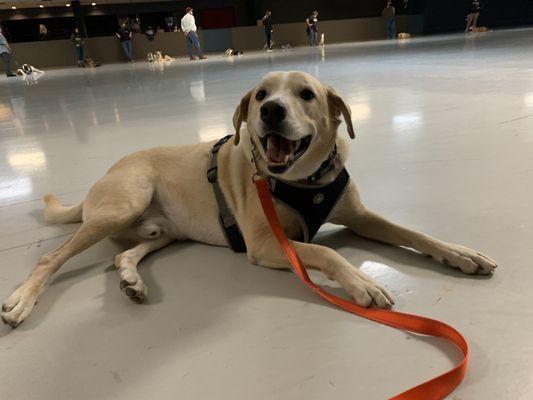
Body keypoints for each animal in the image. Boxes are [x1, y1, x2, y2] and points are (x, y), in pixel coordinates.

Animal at [2, 72, 496, 328]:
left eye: (306, 94)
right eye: (260, 94)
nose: (270, 110)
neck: (306, 180)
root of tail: (105, 173)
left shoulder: (361, 216)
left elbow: (415, 232)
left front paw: (460, 254)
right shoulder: (265, 243)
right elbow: (323, 252)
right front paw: (362, 281)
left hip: (162, 231)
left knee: (125, 253)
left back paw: (130, 279)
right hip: (122, 206)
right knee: (50, 258)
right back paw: (22, 300)